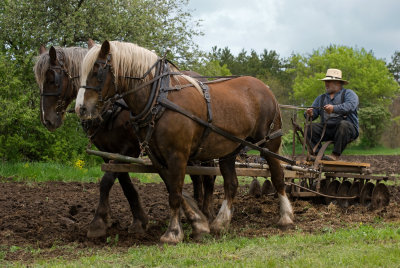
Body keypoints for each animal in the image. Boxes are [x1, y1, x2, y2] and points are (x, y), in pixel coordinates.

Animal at [33, 43, 216, 238]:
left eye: (52, 79)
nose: (47, 120)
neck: (114, 106)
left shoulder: (129, 148)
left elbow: (107, 181)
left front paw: (98, 223)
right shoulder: (109, 152)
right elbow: (125, 182)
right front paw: (139, 221)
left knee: (209, 176)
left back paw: (208, 213)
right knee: (196, 177)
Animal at [75, 40, 294, 244]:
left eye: (98, 70)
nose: (81, 109)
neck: (159, 98)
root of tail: (264, 87)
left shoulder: (177, 154)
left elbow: (175, 194)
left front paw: (173, 233)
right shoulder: (157, 157)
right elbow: (174, 189)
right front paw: (198, 224)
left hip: (270, 143)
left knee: (278, 176)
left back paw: (285, 217)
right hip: (230, 148)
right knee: (231, 184)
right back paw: (220, 223)